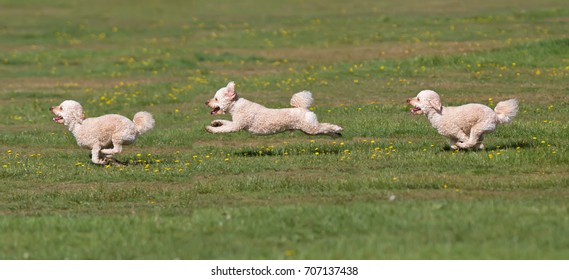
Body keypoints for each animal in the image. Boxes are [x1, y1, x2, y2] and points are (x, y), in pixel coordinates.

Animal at [206, 81, 344, 137]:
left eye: (216, 99)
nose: (206, 102)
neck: (236, 106)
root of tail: (303, 109)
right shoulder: (236, 122)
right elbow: (225, 123)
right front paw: (216, 123)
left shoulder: (237, 125)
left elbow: (223, 129)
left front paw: (211, 129)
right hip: (309, 129)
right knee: (325, 129)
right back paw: (336, 135)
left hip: (310, 128)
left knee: (326, 126)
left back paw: (338, 128)